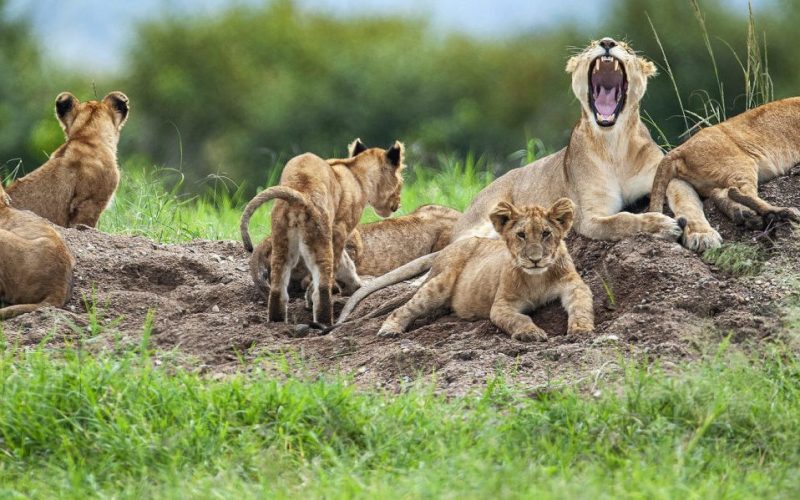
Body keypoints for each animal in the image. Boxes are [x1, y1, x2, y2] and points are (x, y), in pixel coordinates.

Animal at [240, 139, 405, 325]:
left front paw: (354, 285)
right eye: (400, 182)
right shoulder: (340, 229)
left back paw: (277, 322)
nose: (398, 203)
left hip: (282, 244)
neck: (357, 172)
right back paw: (323, 322)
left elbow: (345, 262)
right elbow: (339, 262)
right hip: (319, 239)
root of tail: (300, 195)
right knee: (322, 286)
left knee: (277, 289)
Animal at [337, 37, 717, 324]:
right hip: (481, 227)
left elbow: (686, 199)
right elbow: (625, 219)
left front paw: (703, 234)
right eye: (592, 45)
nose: (607, 43)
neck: (614, 142)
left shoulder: (666, 173)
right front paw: (662, 224)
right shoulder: (590, 216)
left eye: (625, 46)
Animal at [377, 198, 594, 341]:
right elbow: (519, 319)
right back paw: (389, 329)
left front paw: (582, 329)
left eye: (546, 234)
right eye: (521, 235)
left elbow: (581, 305)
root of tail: (447, 249)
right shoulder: (501, 305)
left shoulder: (574, 285)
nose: (535, 260)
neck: (537, 278)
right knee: (406, 307)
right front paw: (530, 333)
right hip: (440, 284)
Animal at [649, 97, 800, 227]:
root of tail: (679, 149)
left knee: (720, 194)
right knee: (738, 191)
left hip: (713, 181)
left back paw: (746, 216)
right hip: (741, 163)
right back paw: (780, 212)